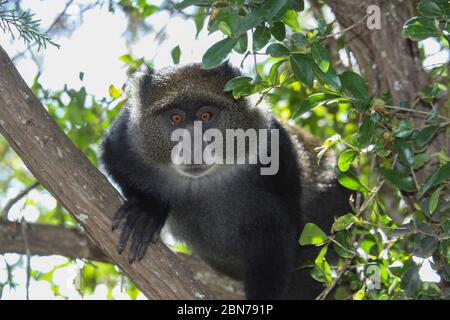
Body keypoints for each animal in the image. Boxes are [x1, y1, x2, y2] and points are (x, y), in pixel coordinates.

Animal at [101, 63, 352, 300]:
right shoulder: (126, 136)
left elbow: (279, 236)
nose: (192, 145)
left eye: (206, 116)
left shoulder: (275, 147)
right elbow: (111, 156)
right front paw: (148, 209)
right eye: (176, 118)